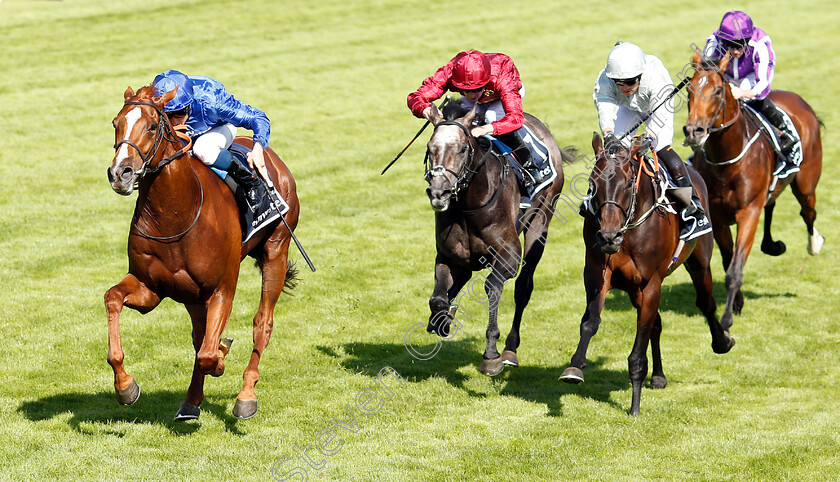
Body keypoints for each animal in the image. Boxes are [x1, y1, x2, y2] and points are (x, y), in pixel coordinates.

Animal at [106, 86, 298, 422]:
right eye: (116, 123)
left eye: (153, 126)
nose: (120, 173)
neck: (174, 213)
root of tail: (274, 159)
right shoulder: (151, 287)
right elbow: (112, 298)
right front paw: (125, 385)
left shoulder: (222, 287)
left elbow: (209, 353)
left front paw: (221, 355)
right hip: (192, 295)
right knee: (199, 336)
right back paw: (191, 401)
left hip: (277, 248)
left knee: (262, 323)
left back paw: (246, 395)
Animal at [424, 102, 576, 376]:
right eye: (431, 148)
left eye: (462, 149)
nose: (439, 192)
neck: (469, 207)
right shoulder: (449, 255)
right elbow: (438, 298)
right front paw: (441, 320)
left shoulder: (509, 256)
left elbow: (492, 286)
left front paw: (491, 354)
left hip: (541, 221)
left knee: (523, 287)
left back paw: (510, 349)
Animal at [564, 134, 736, 416]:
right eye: (593, 184)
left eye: (627, 184)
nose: (609, 237)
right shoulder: (598, 273)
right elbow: (591, 321)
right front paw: (575, 366)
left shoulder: (651, 284)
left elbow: (638, 348)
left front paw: (635, 405)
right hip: (635, 290)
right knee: (657, 323)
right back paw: (658, 376)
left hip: (699, 261)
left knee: (706, 303)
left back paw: (722, 342)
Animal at [684, 52, 828, 332]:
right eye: (688, 90)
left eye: (717, 91)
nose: (693, 131)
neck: (727, 161)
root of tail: (802, 102)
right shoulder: (718, 219)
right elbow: (728, 261)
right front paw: (737, 304)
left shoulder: (747, 212)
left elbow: (735, 269)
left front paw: (727, 318)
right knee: (772, 204)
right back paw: (772, 244)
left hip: (806, 184)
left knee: (808, 212)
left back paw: (814, 243)